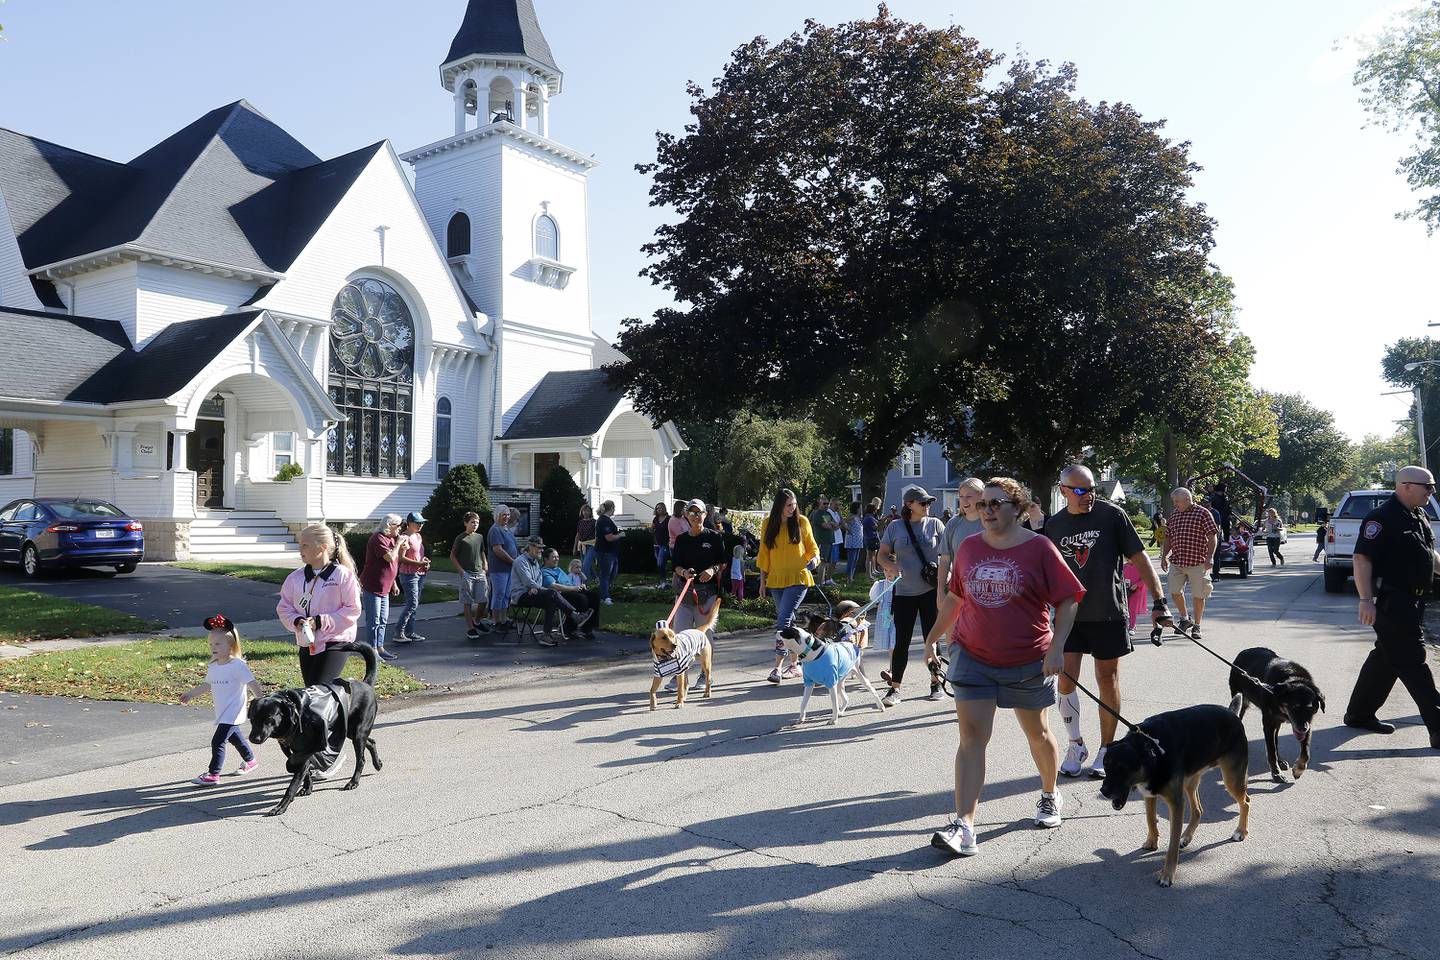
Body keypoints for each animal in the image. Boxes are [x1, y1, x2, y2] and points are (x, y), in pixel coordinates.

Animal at [247, 641, 383, 817]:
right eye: (252, 718)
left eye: (269, 719)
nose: (253, 739)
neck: (295, 712)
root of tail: (366, 684)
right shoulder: (289, 749)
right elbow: (303, 772)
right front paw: (307, 788)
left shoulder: (309, 749)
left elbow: (293, 780)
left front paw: (281, 806)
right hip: (351, 731)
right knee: (371, 742)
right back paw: (377, 764)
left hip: (358, 733)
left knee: (361, 759)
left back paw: (353, 781)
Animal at [1100, 693, 1249, 892]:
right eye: (1105, 765)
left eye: (1123, 769)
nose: (1103, 791)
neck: (1153, 752)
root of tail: (1231, 712)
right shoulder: (1149, 794)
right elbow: (1150, 819)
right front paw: (1152, 842)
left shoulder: (1176, 804)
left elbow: (1171, 846)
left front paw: (1167, 875)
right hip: (1190, 782)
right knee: (1198, 810)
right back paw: (1186, 837)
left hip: (1232, 779)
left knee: (1246, 801)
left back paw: (1240, 831)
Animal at [1226, 644, 1324, 788]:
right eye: (1295, 707)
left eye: (1311, 708)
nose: (1302, 728)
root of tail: (1245, 650)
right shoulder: (1268, 724)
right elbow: (1271, 751)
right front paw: (1276, 773)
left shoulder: (1307, 723)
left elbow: (1305, 752)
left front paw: (1298, 769)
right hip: (1241, 700)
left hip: (1277, 721)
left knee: (1276, 739)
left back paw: (1281, 760)